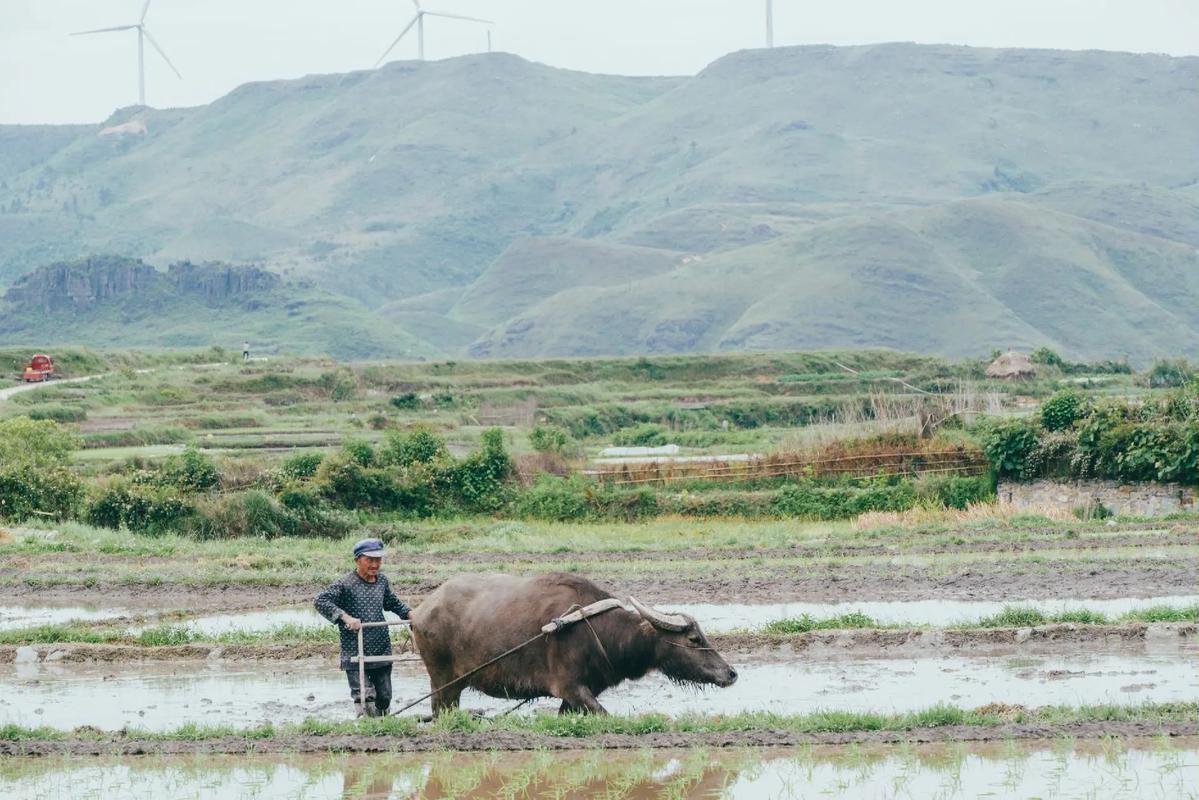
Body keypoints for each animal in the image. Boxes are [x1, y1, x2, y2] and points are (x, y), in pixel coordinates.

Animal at [407, 573, 733, 714]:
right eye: (693, 638)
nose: (731, 673)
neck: (599, 631)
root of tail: (419, 612)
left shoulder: (583, 691)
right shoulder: (570, 687)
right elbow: (603, 715)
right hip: (443, 681)